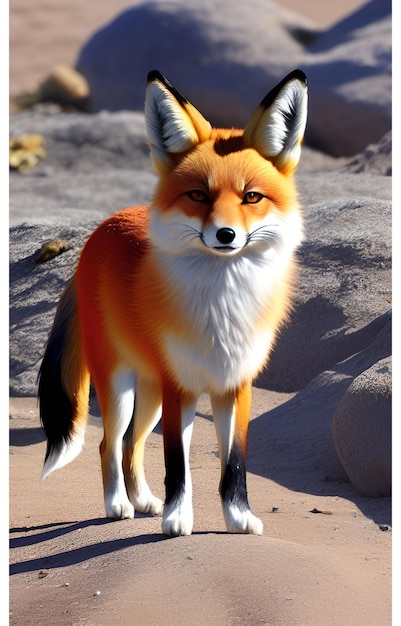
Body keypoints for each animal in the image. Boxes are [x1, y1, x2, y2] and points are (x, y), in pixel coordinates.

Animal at [38, 69, 306, 536]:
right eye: (199, 195)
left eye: (251, 197)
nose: (226, 235)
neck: (221, 309)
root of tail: (101, 228)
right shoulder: (180, 385)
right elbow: (177, 463)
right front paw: (177, 519)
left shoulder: (236, 385)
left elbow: (235, 463)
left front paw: (238, 518)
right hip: (121, 386)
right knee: (110, 442)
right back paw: (118, 504)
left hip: (149, 394)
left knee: (133, 444)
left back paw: (144, 499)